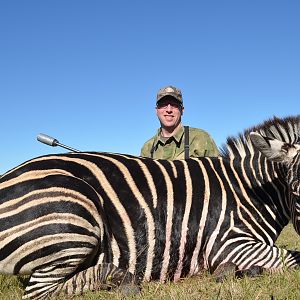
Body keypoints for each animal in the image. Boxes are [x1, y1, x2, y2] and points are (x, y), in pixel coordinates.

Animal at [0, 114, 298, 298]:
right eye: (295, 190)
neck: (248, 190)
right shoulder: (229, 244)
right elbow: (293, 258)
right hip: (76, 219)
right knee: (39, 291)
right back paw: (123, 280)